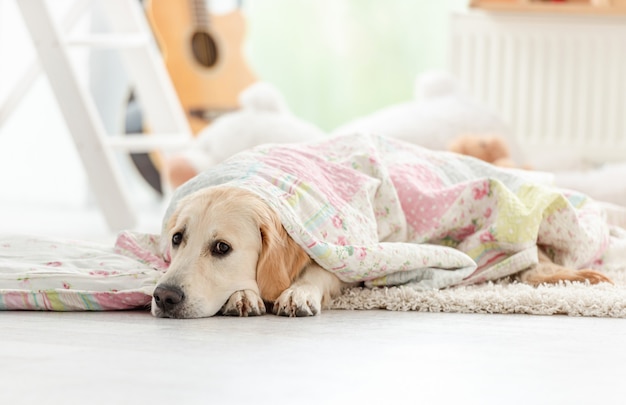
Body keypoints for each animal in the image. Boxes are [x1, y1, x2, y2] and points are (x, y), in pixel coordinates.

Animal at [151, 186, 608, 318]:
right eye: (176, 239)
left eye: (221, 247)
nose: (164, 297)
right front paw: (244, 295)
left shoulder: (340, 255)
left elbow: (315, 275)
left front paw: (297, 292)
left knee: (536, 265)